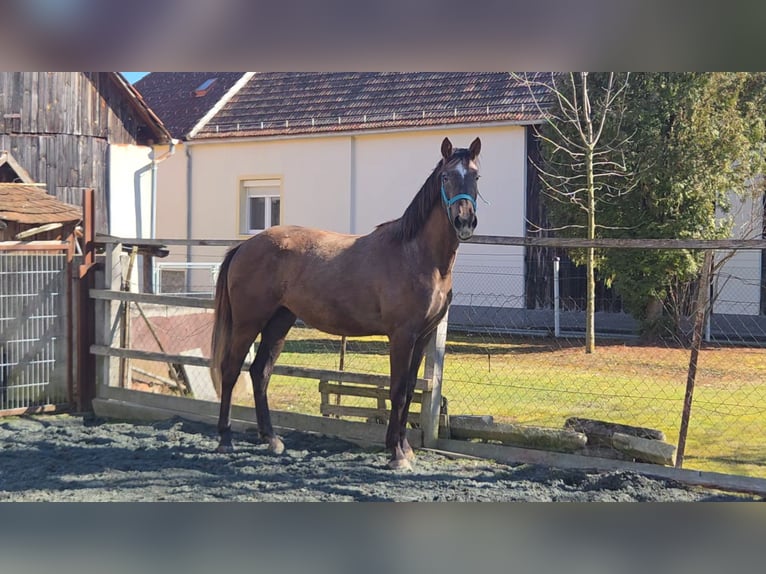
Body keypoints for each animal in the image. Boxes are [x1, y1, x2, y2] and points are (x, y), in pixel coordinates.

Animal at [210, 136, 481, 470]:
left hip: (279, 321)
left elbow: (409, 389)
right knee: (231, 368)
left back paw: (272, 439)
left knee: (260, 372)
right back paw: (225, 439)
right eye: (446, 177)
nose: (464, 220)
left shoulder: (423, 336)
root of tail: (245, 245)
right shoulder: (402, 336)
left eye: (476, 176)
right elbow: (398, 391)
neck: (416, 254)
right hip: (249, 322)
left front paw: (405, 449)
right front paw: (396, 455)